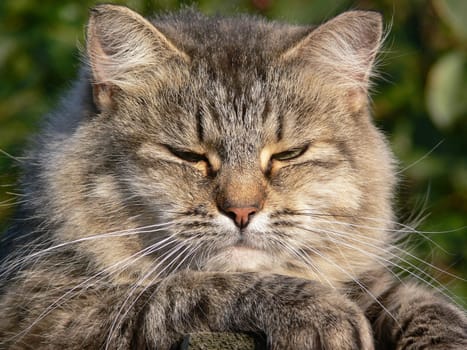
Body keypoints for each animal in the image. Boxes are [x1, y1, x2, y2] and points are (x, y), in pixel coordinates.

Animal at [0, 4, 466, 350]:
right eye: (188, 155)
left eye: (288, 154)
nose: (242, 211)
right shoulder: (45, 313)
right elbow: (193, 287)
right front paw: (324, 313)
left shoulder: (366, 279)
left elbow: (422, 302)